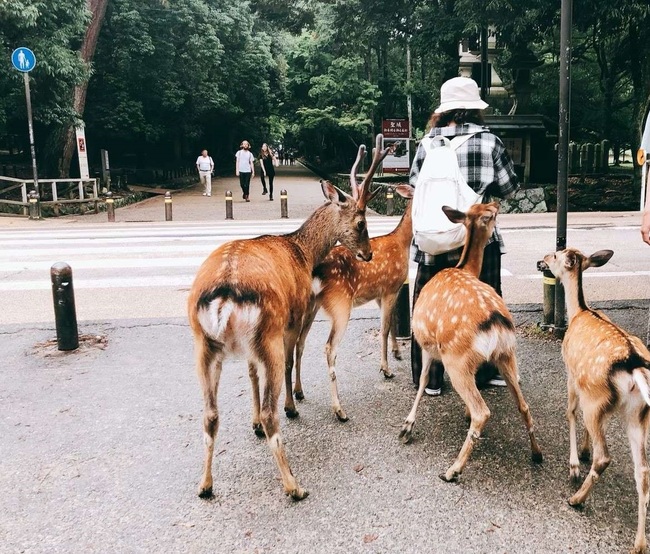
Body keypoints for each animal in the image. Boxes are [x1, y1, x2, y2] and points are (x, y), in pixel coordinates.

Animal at [185, 135, 392, 500]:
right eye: (361, 223)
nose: (368, 254)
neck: (304, 251)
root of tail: (223, 294)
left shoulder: (250, 348)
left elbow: (251, 374)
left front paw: (252, 422)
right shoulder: (296, 314)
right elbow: (296, 355)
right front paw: (294, 402)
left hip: (204, 344)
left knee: (209, 414)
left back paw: (205, 485)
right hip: (267, 332)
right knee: (272, 408)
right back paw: (294, 485)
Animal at [292, 183, 412, 420]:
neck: (403, 242)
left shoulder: (380, 294)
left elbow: (392, 324)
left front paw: (397, 353)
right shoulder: (390, 288)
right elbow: (384, 328)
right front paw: (386, 369)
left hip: (311, 306)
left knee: (300, 343)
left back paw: (299, 392)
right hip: (340, 306)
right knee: (329, 348)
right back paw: (339, 410)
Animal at [394, 202, 540, 478]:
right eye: (486, 211)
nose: (498, 203)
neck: (464, 268)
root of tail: (496, 323)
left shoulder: (427, 344)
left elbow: (422, 381)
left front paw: (406, 427)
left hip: (457, 360)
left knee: (482, 411)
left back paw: (453, 470)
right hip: (507, 354)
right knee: (524, 405)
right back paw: (537, 454)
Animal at [540, 247, 648, 552]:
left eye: (555, 255)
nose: (541, 261)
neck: (580, 312)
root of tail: (634, 365)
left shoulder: (571, 372)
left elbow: (569, 412)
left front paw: (575, 464)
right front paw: (584, 450)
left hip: (597, 396)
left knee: (604, 457)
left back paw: (576, 498)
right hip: (636, 414)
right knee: (643, 472)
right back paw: (639, 543)